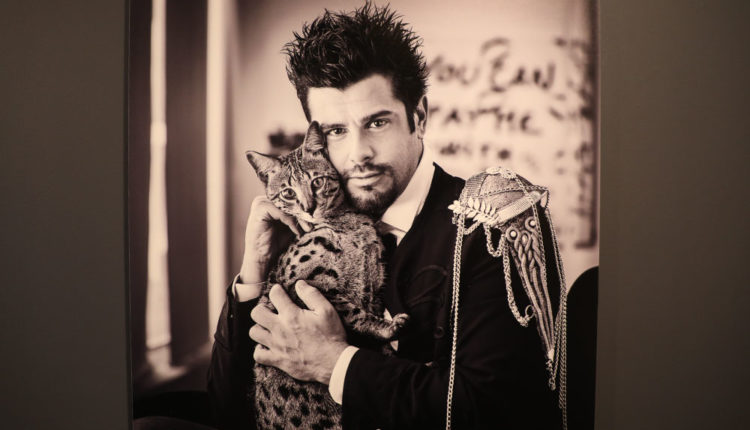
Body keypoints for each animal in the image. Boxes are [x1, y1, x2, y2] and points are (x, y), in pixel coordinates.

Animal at [245, 121, 409, 430]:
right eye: (288, 193)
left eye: (317, 182)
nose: (308, 208)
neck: (346, 226)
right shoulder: (306, 286)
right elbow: (352, 312)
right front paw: (385, 328)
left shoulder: (375, 283)